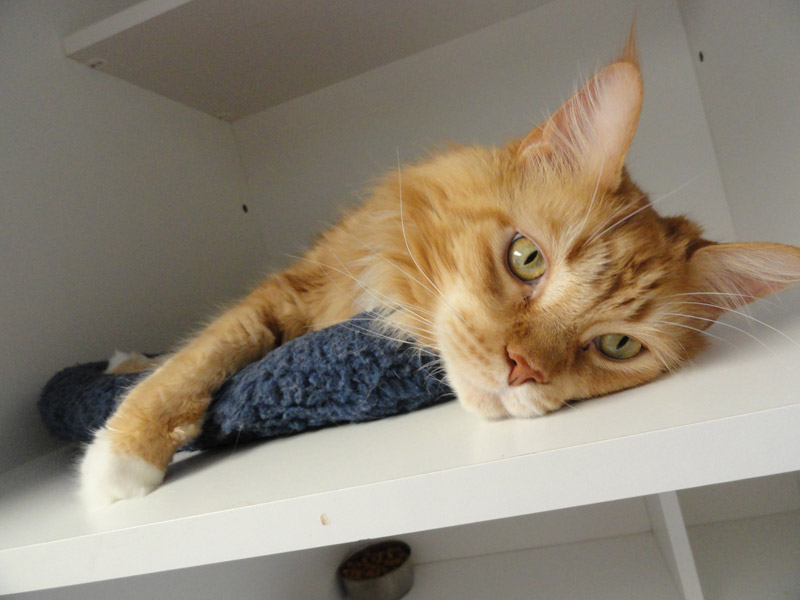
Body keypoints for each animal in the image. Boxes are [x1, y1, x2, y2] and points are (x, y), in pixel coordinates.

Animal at [79, 31, 800, 502]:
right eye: (527, 259)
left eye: (617, 346)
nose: (521, 369)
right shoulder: (300, 284)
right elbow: (205, 352)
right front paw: (122, 458)